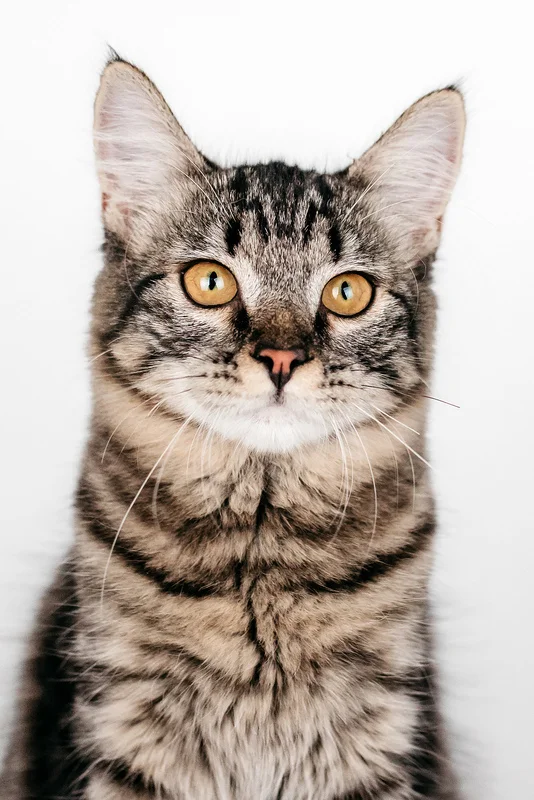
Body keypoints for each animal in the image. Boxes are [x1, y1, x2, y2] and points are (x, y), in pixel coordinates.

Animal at [0, 56, 466, 800]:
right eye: (210, 282)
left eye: (348, 293)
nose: (280, 359)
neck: (259, 554)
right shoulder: (121, 726)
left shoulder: (380, 736)